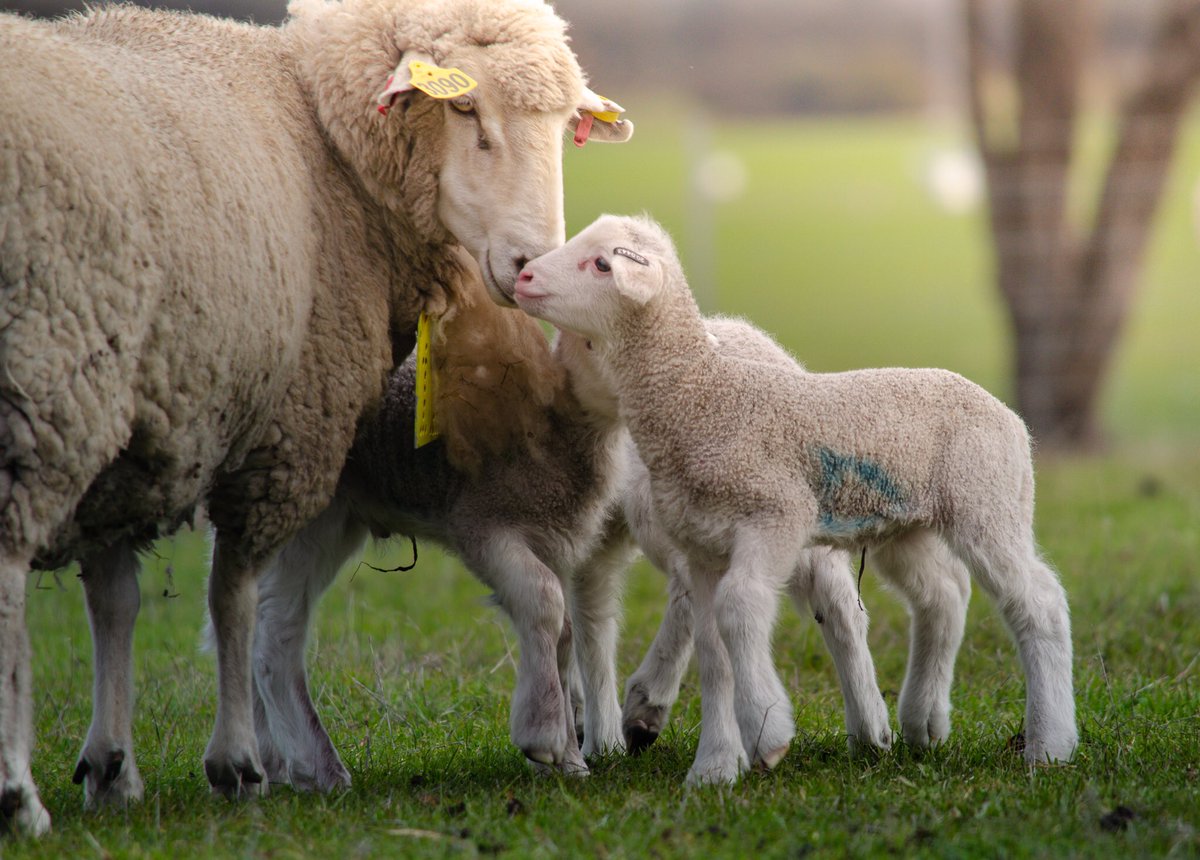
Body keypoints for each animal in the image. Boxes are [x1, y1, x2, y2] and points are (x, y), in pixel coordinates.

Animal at [0, 0, 631, 833]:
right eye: (464, 109)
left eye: (564, 127)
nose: (532, 265)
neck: (323, 136)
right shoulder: (285, 431)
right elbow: (232, 597)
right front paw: (234, 762)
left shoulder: (150, 424)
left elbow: (119, 598)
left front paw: (115, 767)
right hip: (45, 383)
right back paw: (21, 793)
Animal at [243, 270, 892, 788]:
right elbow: (566, 624)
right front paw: (570, 738)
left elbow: (560, 619)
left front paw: (560, 740)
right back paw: (870, 729)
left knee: (694, 594)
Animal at [513, 214, 1077, 785]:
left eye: (602, 264)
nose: (524, 278)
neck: (701, 397)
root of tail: (1012, 422)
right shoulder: (703, 545)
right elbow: (714, 648)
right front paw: (713, 768)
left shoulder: (777, 515)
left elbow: (740, 606)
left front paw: (767, 735)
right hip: (905, 526)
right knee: (943, 592)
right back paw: (922, 723)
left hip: (986, 504)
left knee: (1039, 603)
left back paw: (1048, 744)